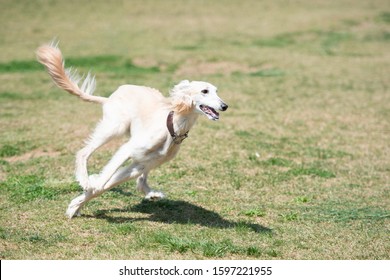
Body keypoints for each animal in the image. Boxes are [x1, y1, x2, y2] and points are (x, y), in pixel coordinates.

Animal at [35, 42, 229, 219]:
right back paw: (85, 179)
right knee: (84, 152)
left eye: (217, 91)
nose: (225, 106)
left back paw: (151, 193)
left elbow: (108, 184)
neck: (172, 127)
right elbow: (103, 181)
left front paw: (75, 205)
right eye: (204, 91)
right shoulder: (128, 149)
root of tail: (110, 96)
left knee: (141, 180)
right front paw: (85, 192)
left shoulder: (139, 165)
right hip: (114, 127)